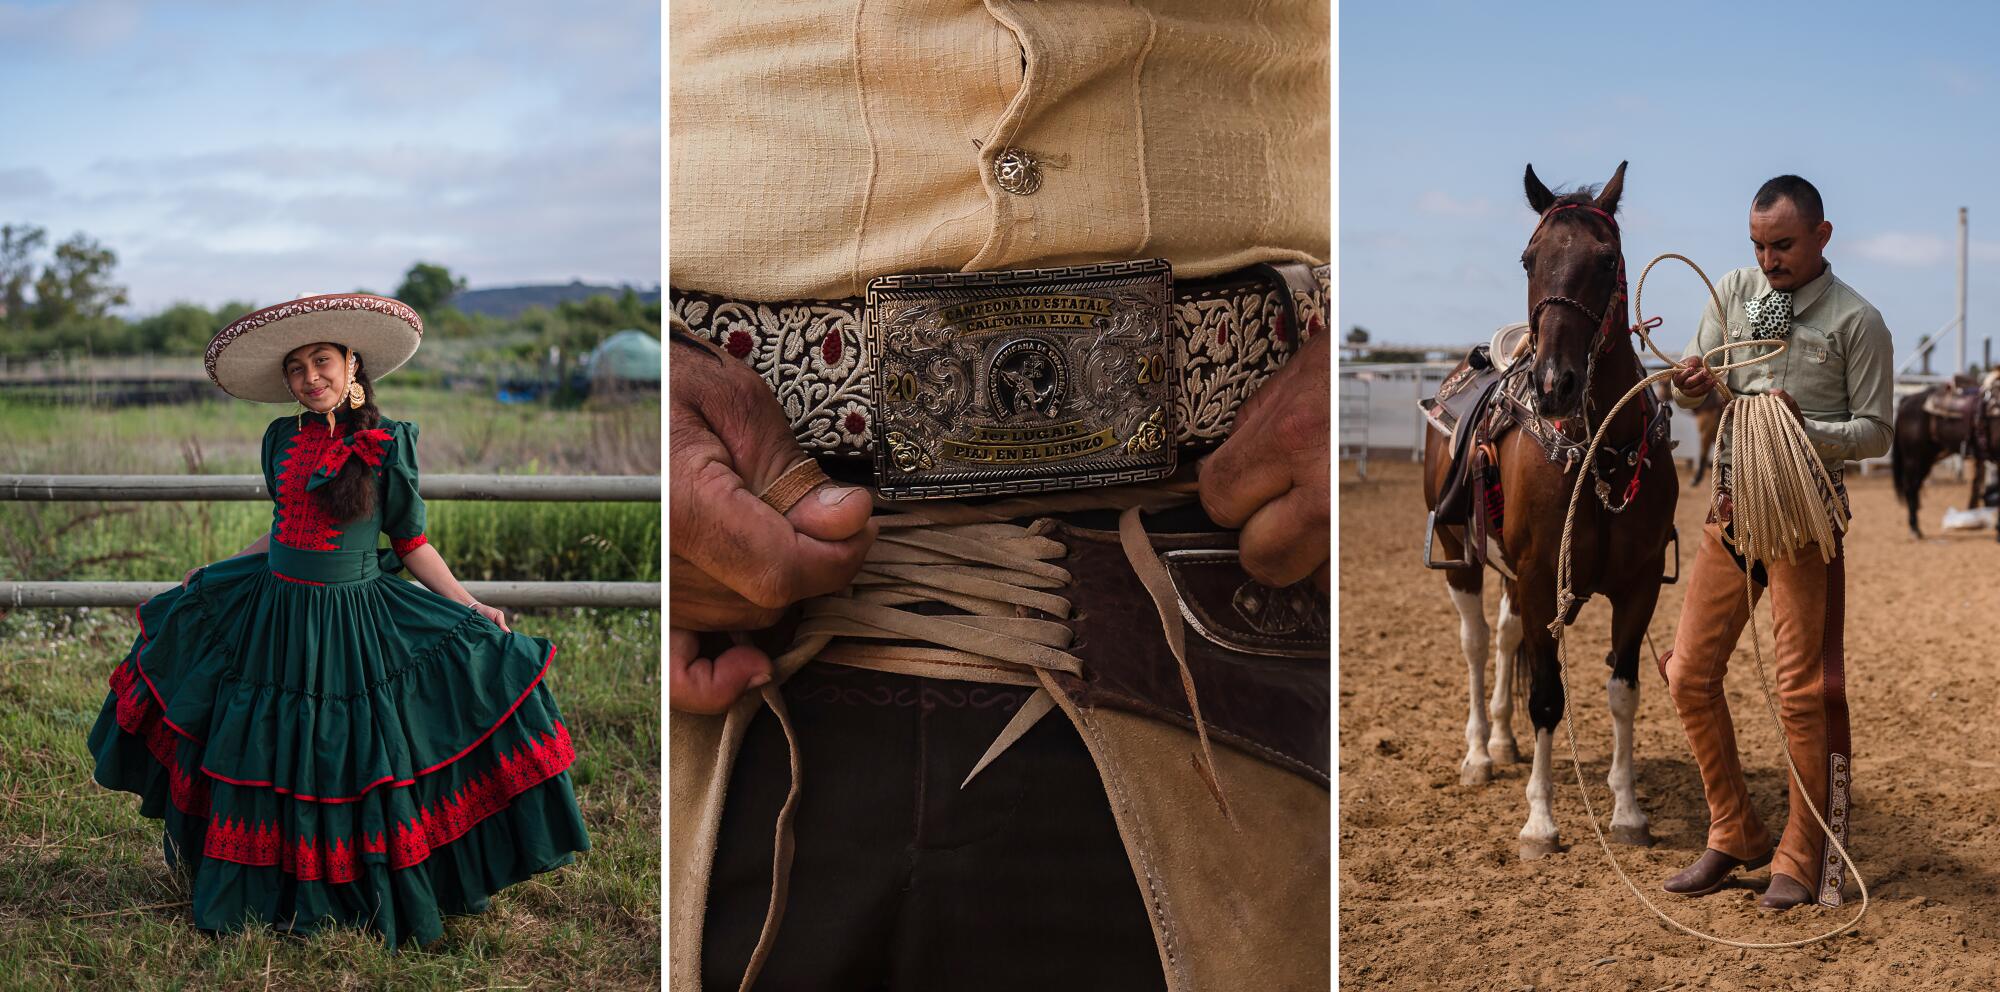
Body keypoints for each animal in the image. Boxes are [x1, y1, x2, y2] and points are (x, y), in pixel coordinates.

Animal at [1416, 163, 1680, 860]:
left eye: (1607, 259)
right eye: (1529, 259)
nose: (1555, 383)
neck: (1601, 453)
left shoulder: (1638, 584)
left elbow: (1622, 692)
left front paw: (1627, 812)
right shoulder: (1539, 578)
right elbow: (1545, 697)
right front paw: (1540, 822)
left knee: (1507, 637)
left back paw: (1504, 743)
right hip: (1460, 554)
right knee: (1478, 642)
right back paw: (1480, 754)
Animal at [1888, 384, 2000, 540]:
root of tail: (1907, 399)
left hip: (1926, 459)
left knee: (1916, 487)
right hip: (1913, 458)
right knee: (1910, 488)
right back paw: (1914, 528)